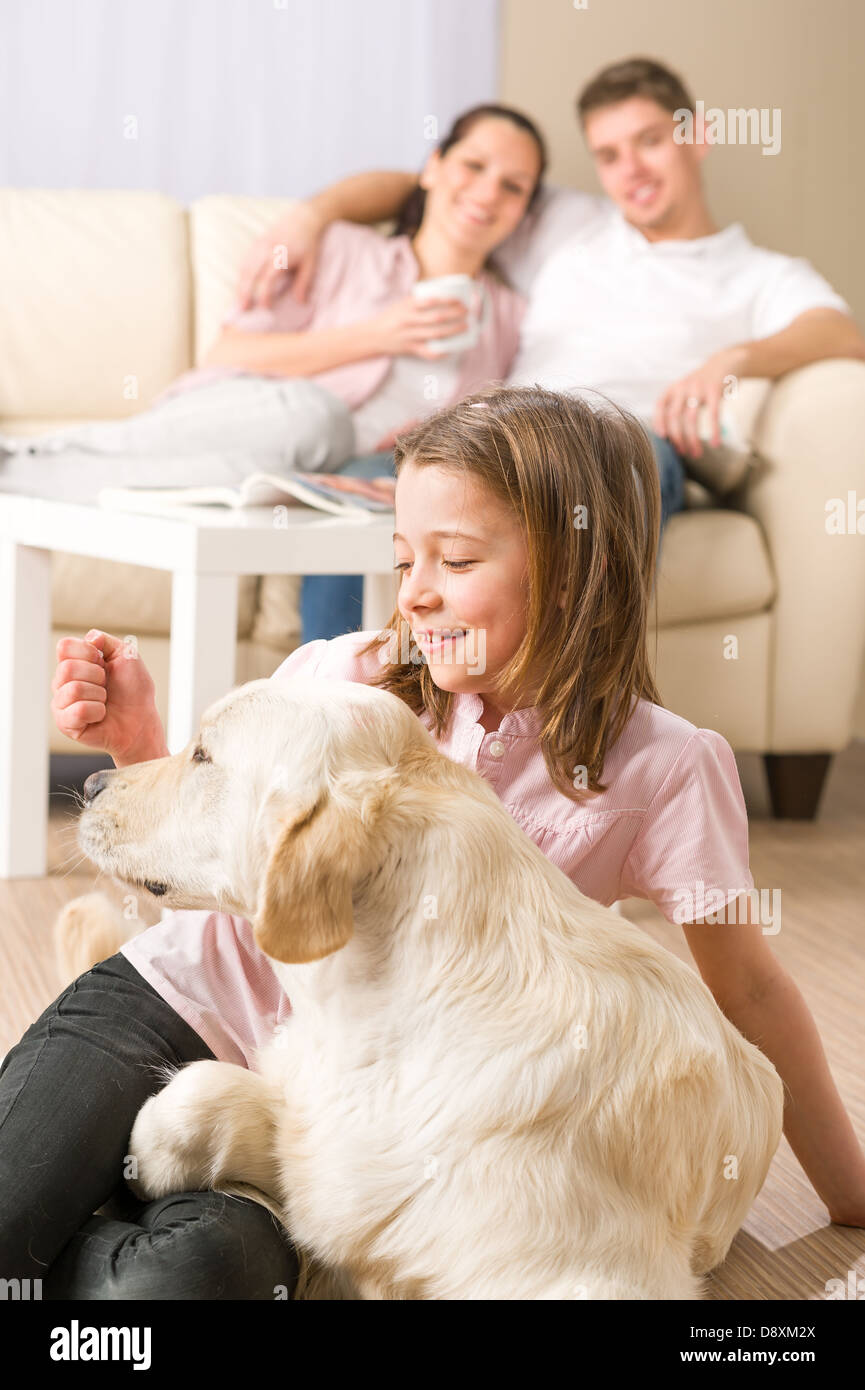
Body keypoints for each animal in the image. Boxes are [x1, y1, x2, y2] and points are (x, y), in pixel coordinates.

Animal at [69, 675, 784, 1301]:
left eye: (202, 755)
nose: (91, 780)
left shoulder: (592, 1275)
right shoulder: (334, 1149)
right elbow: (201, 1093)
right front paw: (147, 1160)